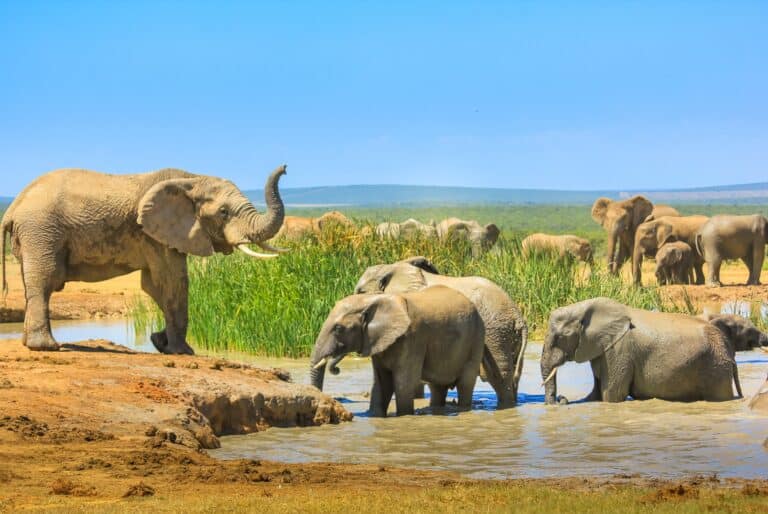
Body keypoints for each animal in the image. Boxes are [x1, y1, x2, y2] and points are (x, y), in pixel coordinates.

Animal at [0, 164, 288, 352]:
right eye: (224, 212)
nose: (284, 168)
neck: (192, 179)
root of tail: (13, 207)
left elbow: (155, 285)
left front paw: (159, 342)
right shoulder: (154, 234)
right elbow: (173, 281)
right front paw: (182, 352)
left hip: (33, 235)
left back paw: (30, 343)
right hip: (41, 230)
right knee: (45, 281)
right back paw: (47, 347)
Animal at [308, 286, 484, 414]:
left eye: (338, 328)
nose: (336, 369)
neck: (372, 299)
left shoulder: (412, 337)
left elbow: (403, 383)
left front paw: (404, 415)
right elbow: (382, 383)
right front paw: (374, 416)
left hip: (476, 338)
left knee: (465, 384)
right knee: (437, 387)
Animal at [318, 256, 528, 408]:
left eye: (361, 293)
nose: (336, 369)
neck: (392, 267)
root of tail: (518, 316)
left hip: (495, 333)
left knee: (498, 376)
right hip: (507, 336)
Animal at [540, 298, 744, 402]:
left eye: (559, 337)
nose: (561, 398)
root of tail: (727, 347)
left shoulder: (619, 350)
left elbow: (612, 395)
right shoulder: (603, 347)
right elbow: (597, 394)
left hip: (715, 367)